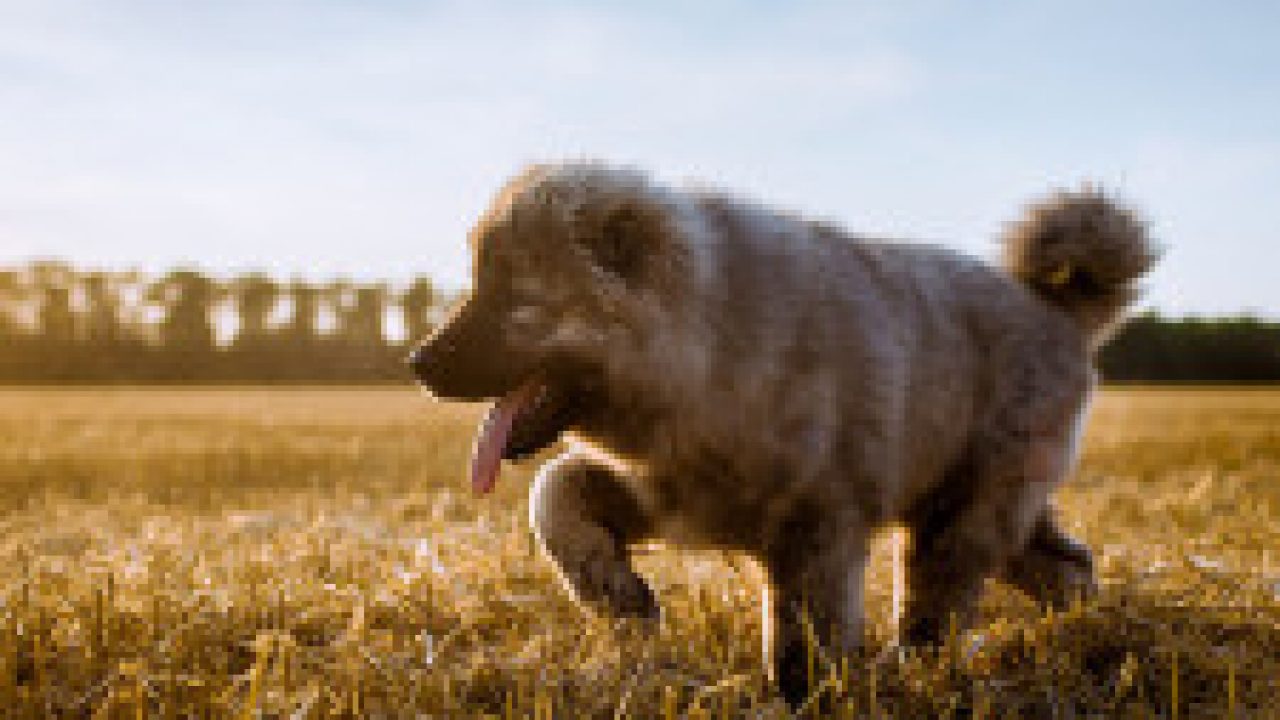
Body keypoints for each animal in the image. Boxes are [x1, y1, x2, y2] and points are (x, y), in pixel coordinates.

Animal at [412, 159, 1162, 702]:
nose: (417, 362)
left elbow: (807, 635)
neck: (707, 347)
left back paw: (918, 665)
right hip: (975, 503)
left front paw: (805, 696)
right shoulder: (665, 492)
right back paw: (1089, 629)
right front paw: (614, 593)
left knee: (941, 596)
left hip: (964, 509)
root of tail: (1058, 313)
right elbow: (556, 490)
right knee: (1064, 564)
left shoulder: (820, 525)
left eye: (510, 294)